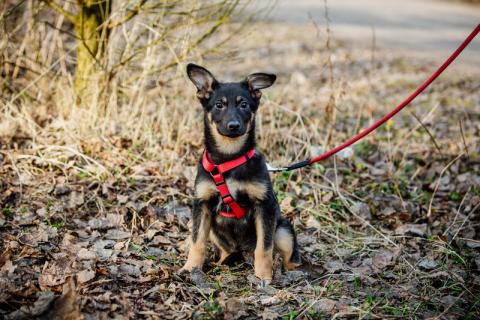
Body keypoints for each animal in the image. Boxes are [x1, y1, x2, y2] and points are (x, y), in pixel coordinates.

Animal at [180, 62, 300, 282]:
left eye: (244, 104)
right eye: (219, 105)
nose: (233, 126)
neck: (229, 158)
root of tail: (242, 251)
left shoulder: (264, 206)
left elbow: (264, 248)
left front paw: (263, 277)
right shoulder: (202, 204)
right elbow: (197, 242)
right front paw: (190, 268)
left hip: (283, 230)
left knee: (289, 257)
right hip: (216, 232)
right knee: (225, 251)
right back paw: (220, 264)